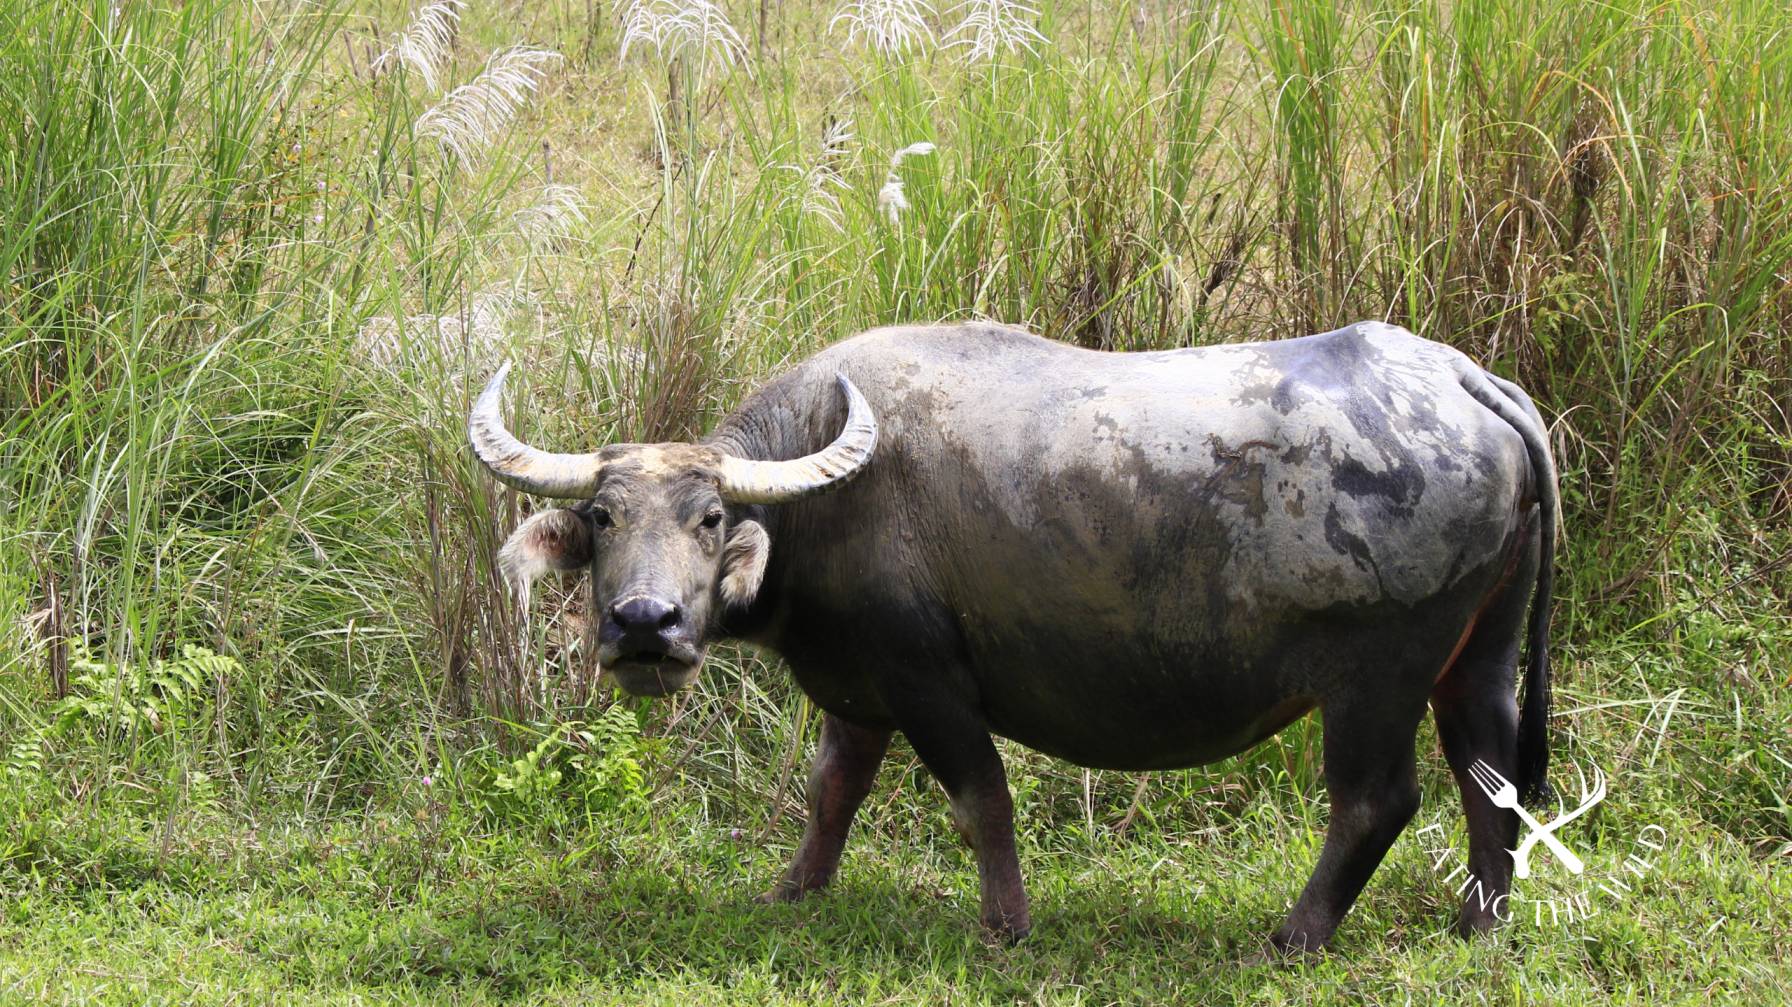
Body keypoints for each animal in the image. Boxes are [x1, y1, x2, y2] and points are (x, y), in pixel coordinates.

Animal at [469, 320, 1557, 953]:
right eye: (603, 516)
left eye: (708, 518)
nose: (643, 624)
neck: (831, 498)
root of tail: (1468, 381)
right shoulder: (858, 693)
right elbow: (831, 795)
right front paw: (794, 890)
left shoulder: (928, 683)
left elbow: (979, 800)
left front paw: (1004, 924)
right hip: (1478, 653)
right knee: (1489, 773)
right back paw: (1479, 919)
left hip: (1376, 676)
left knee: (1378, 799)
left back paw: (1294, 933)